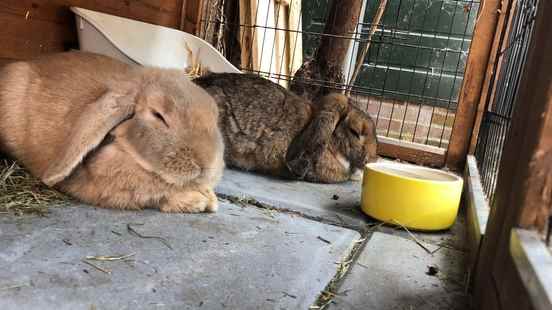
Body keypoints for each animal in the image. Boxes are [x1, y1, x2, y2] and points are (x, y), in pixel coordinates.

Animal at [0, 52, 224, 213]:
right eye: (158, 115)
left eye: (215, 117)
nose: (206, 164)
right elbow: (154, 191)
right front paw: (200, 200)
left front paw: (209, 196)